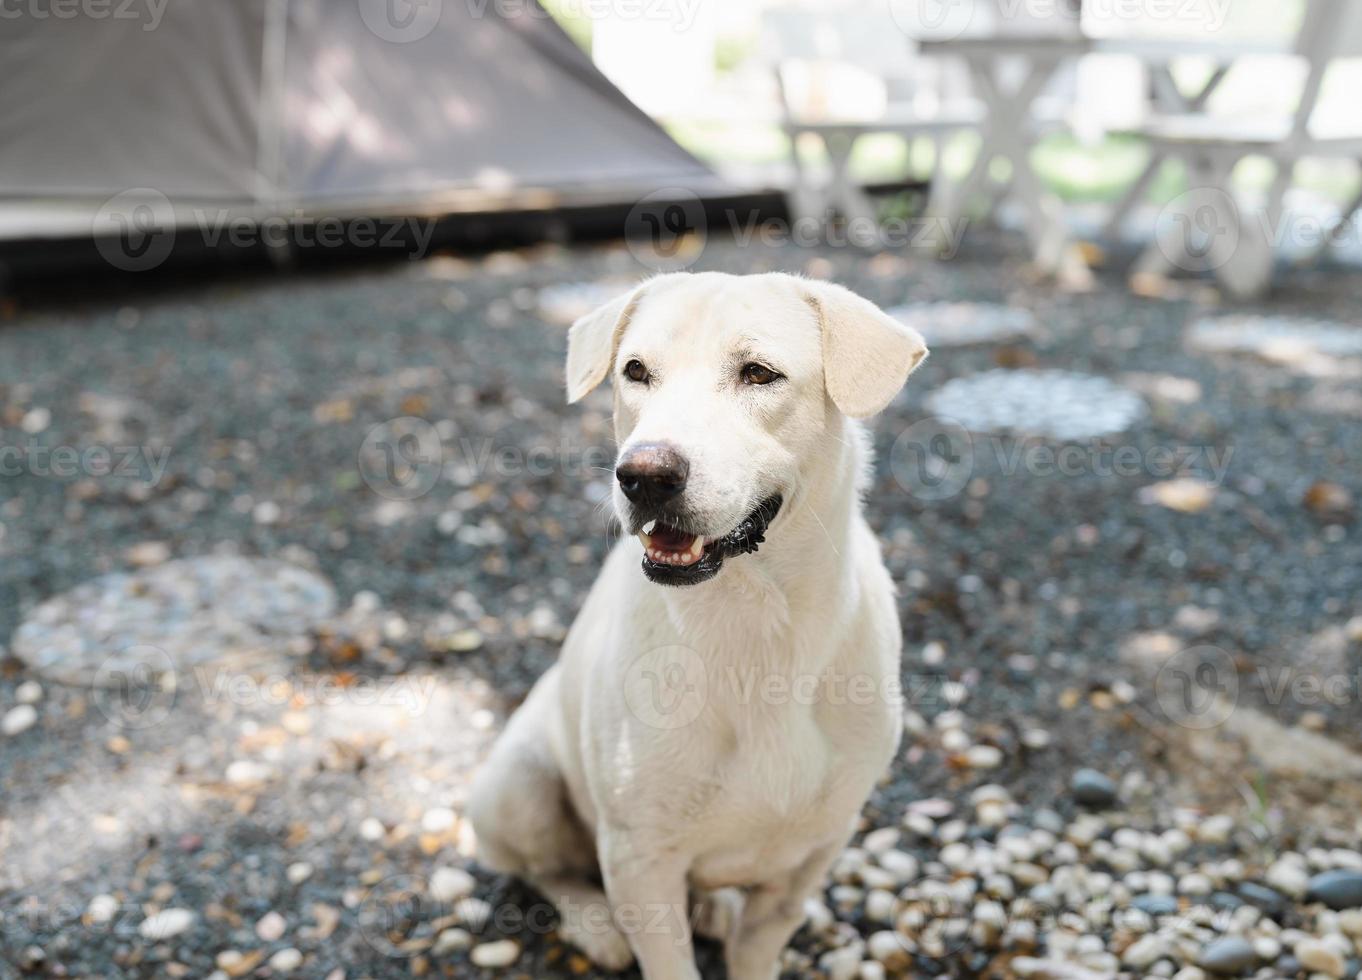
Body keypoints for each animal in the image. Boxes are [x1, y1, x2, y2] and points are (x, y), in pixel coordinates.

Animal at [465, 269, 926, 980]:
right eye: (635, 371)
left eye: (759, 373)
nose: (644, 476)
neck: (753, 618)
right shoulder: (640, 861)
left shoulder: (807, 861)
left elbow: (758, 948)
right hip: (520, 784)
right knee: (547, 869)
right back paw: (592, 922)